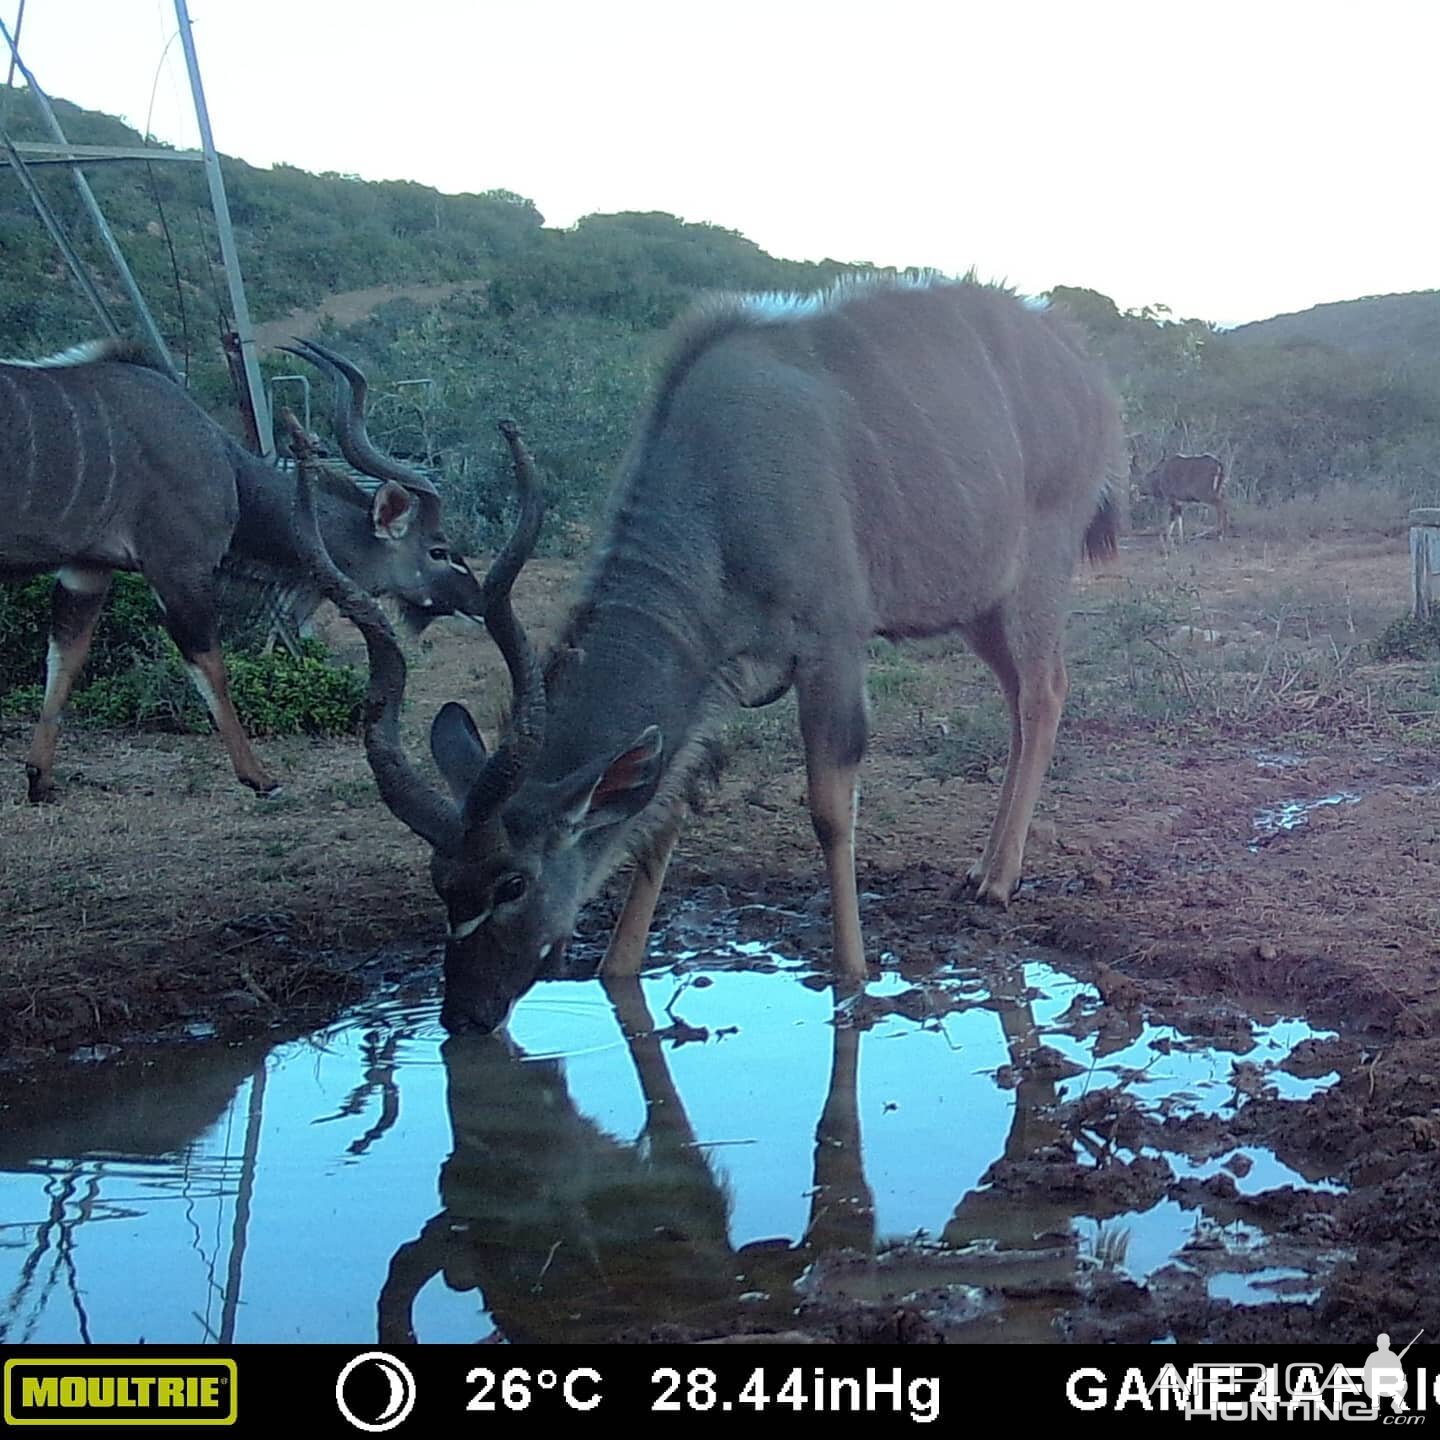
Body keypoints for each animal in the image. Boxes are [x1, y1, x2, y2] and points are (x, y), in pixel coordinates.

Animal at [0, 341, 486, 806]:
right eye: (439, 551)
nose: (477, 604)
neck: (224, 464)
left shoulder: (87, 569)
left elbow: (64, 656)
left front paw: (39, 779)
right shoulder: (179, 567)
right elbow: (211, 666)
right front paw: (261, 778)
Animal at [312, 275, 1123, 1031]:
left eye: (512, 882)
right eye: (440, 878)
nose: (466, 1016)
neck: (717, 489)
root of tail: (1083, 366)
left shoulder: (832, 646)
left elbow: (829, 810)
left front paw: (853, 975)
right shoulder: (715, 677)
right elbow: (663, 815)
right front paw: (618, 970)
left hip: (1034, 574)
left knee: (1045, 690)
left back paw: (998, 881)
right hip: (978, 606)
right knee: (1020, 696)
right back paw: (984, 867)